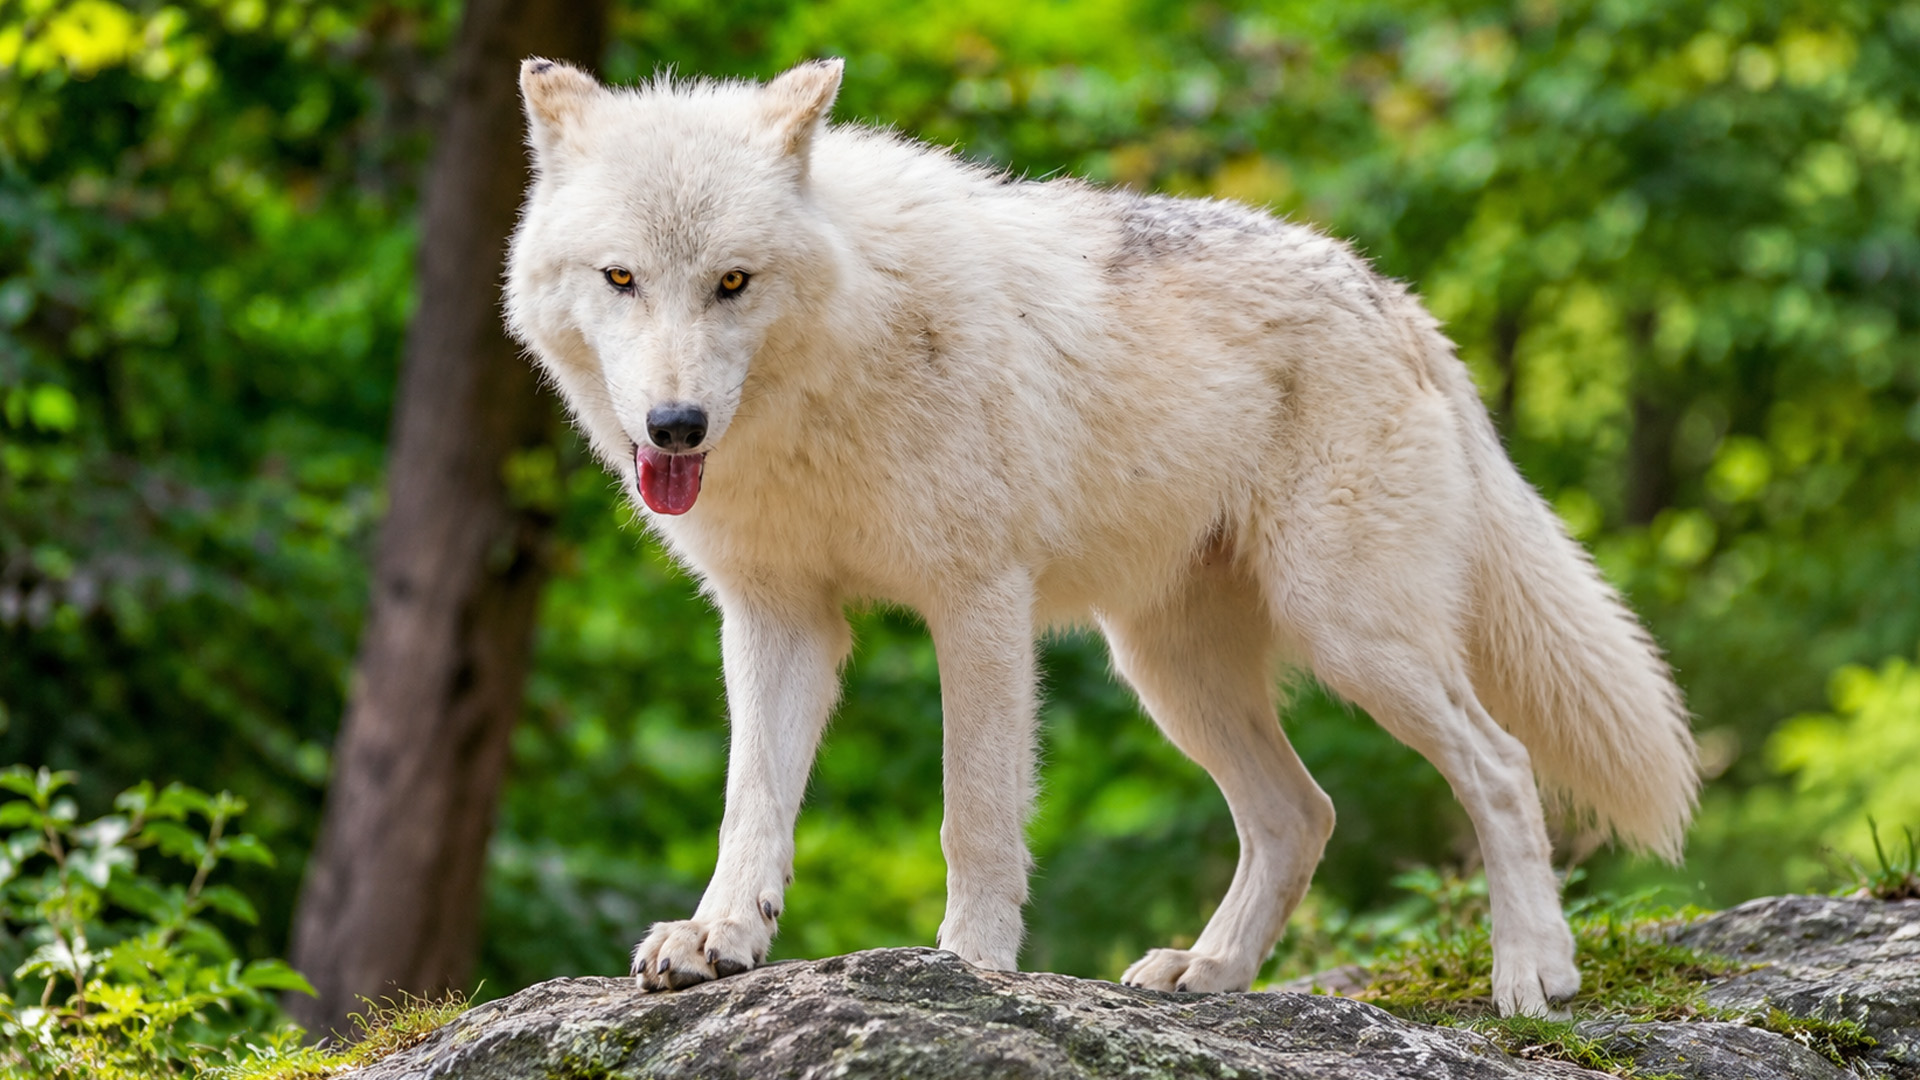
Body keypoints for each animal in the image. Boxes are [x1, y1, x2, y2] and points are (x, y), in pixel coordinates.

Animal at [504, 57, 1698, 1017]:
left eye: (732, 282)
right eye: (621, 277)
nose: (675, 425)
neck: (830, 380)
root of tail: (1394, 296)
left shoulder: (979, 603)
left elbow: (977, 816)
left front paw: (971, 966)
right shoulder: (778, 617)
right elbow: (751, 805)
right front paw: (720, 938)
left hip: (1354, 639)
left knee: (1497, 764)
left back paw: (1534, 973)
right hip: (1170, 674)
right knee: (1301, 814)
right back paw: (1209, 974)